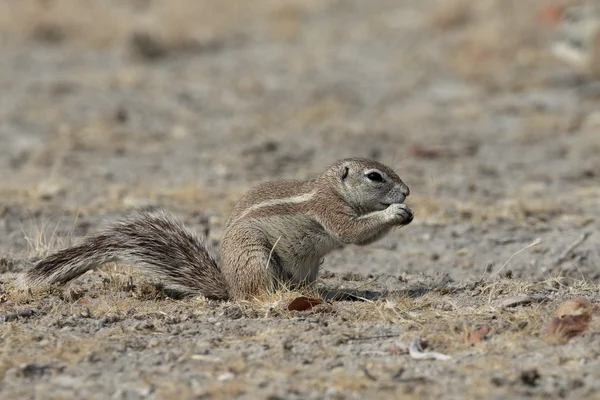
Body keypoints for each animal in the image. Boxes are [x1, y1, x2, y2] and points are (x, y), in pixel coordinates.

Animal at [18, 158, 412, 302]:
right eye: (375, 176)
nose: (407, 191)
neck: (331, 188)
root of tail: (229, 286)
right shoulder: (329, 209)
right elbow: (350, 232)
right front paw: (395, 212)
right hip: (255, 258)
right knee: (256, 294)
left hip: (309, 267)